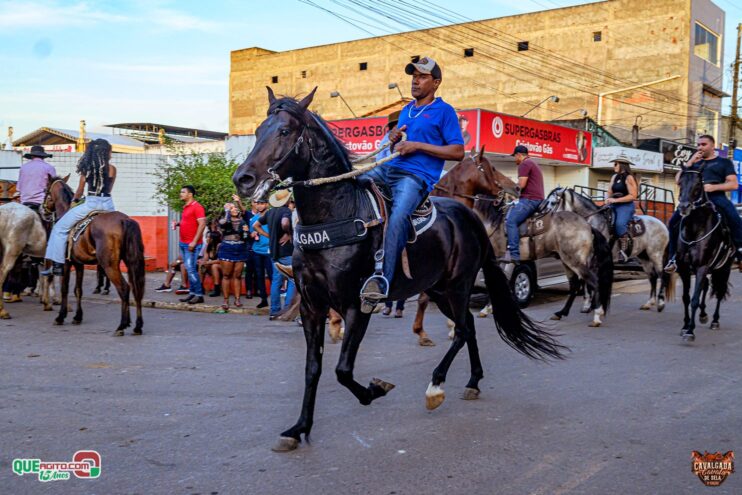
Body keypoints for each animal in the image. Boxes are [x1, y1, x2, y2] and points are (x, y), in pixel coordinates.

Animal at [43, 177, 146, 335]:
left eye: (45, 190)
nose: (42, 210)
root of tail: (125, 220)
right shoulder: (78, 264)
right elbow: (78, 290)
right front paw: (78, 317)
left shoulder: (66, 264)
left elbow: (65, 289)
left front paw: (61, 316)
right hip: (130, 262)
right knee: (136, 289)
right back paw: (137, 326)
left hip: (109, 265)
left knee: (124, 288)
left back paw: (122, 325)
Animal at [546, 187, 674, 312]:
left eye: (553, 202)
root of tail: (662, 224)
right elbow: (586, 279)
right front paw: (588, 305)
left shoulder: (595, 259)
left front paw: (593, 305)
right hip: (644, 256)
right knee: (653, 277)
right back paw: (649, 303)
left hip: (655, 254)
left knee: (662, 275)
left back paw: (660, 303)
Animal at [675, 167, 734, 341]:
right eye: (680, 183)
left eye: (697, 184)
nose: (684, 207)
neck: (695, 228)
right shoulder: (684, 268)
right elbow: (686, 298)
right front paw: (685, 325)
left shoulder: (702, 266)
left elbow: (694, 299)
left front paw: (690, 331)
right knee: (706, 286)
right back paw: (703, 314)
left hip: (724, 268)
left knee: (720, 291)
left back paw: (714, 320)